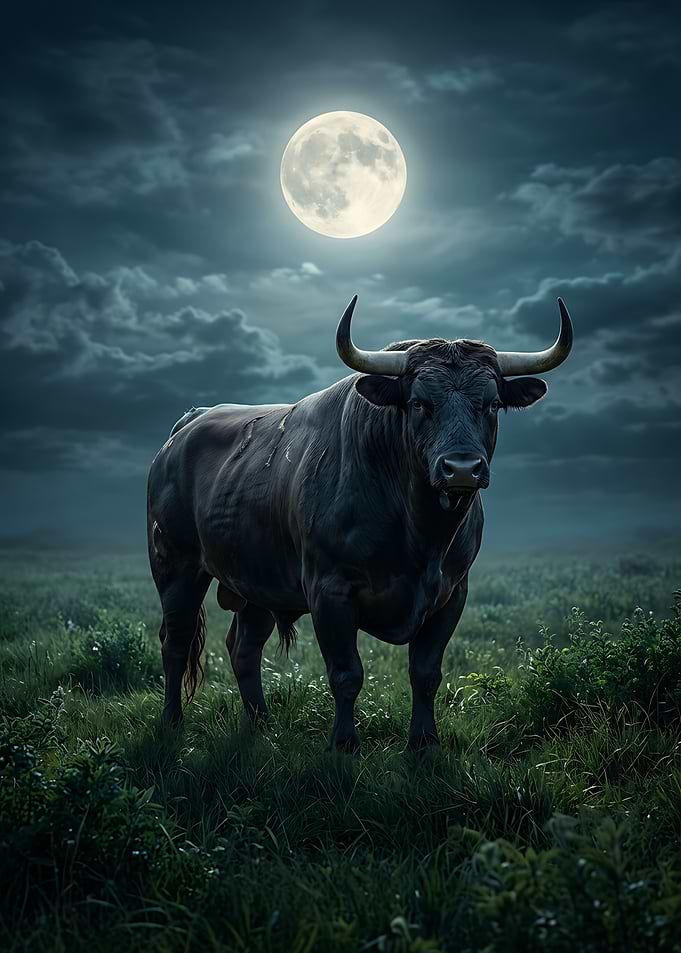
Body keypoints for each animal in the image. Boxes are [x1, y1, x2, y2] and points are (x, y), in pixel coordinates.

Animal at [147, 295, 573, 750]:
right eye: (420, 403)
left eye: (491, 404)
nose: (462, 468)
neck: (419, 534)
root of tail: (187, 426)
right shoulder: (329, 592)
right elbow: (346, 674)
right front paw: (344, 743)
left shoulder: (452, 595)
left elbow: (426, 673)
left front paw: (424, 743)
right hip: (176, 567)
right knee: (175, 642)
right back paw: (171, 722)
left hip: (256, 583)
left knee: (243, 648)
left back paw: (261, 725)